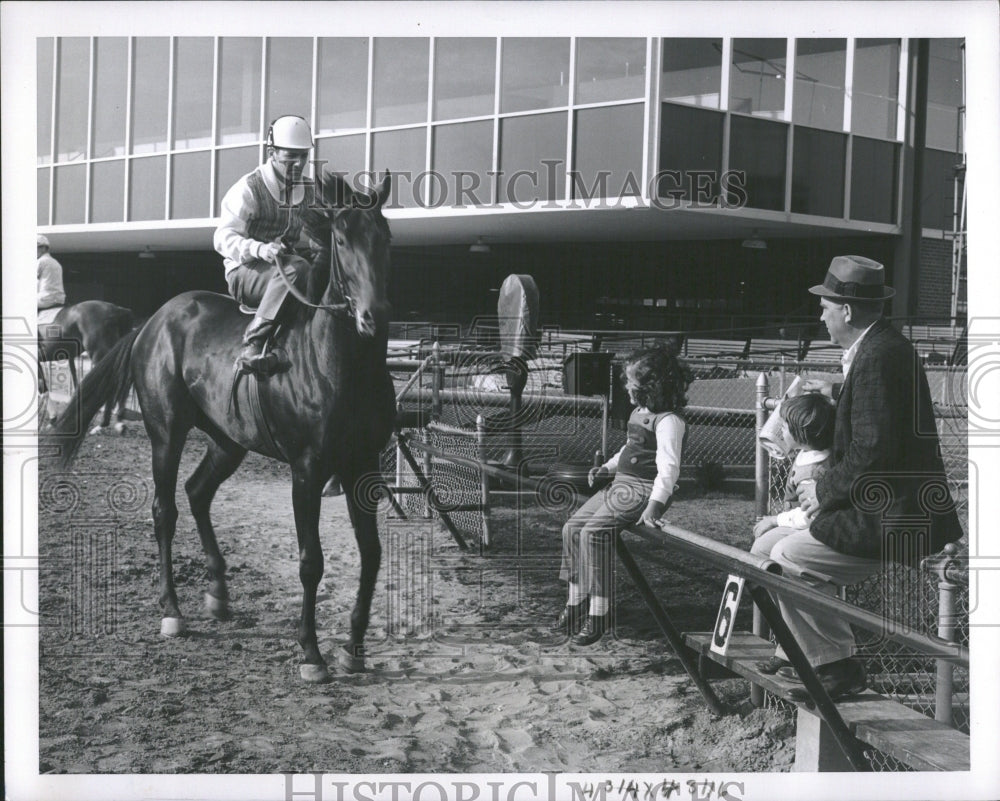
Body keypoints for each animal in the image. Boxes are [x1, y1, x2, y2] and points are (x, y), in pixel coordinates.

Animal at [38, 298, 135, 428]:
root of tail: (117, 309)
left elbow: (41, 386)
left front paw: (53, 418)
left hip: (100, 355)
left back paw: (102, 424)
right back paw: (118, 422)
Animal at [50, 173, 394, 680]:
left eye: (385, 238)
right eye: (342, 240)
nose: (374, 316)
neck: (338, 366)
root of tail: (153, 320)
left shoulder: (363, 466)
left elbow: (371, 554)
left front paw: (353, 647)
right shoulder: (307, 471)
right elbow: (311, 561)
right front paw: (311, 653)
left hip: (227, 442)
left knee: (197, 492)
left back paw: (218, 595)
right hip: (167, 435)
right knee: (165, 510)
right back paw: (172, 611)